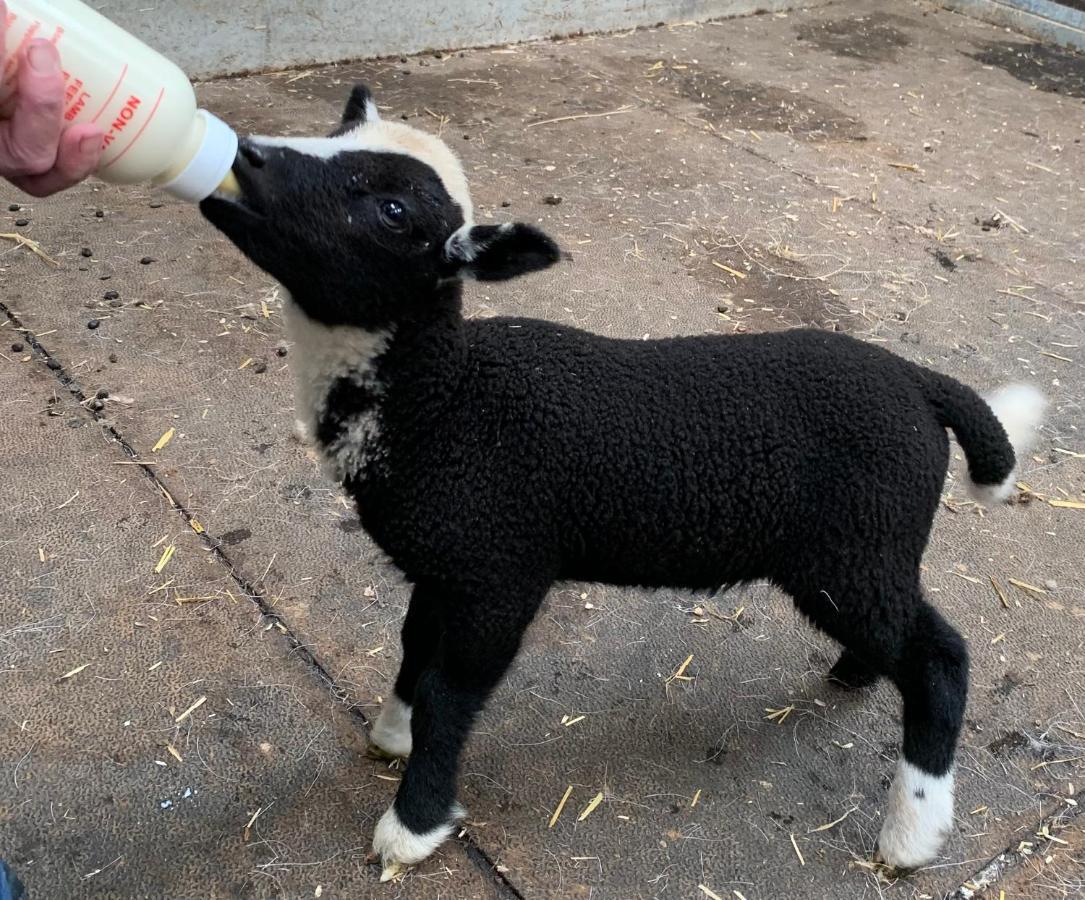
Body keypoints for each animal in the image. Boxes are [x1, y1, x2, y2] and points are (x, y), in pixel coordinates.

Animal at [199, 82, 1045, 877]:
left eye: (392, 209)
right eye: (335, 134)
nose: (243, 155)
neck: (440, 401)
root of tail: (919, 384)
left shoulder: (500, 570)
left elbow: (452, 695)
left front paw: (413, 824)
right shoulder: (447, 566)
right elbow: (413, 649)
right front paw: (391, 734)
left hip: (859, 544)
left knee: (939, 659)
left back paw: (912, 832)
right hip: (863, 556)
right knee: (898, 634)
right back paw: (853, 673)